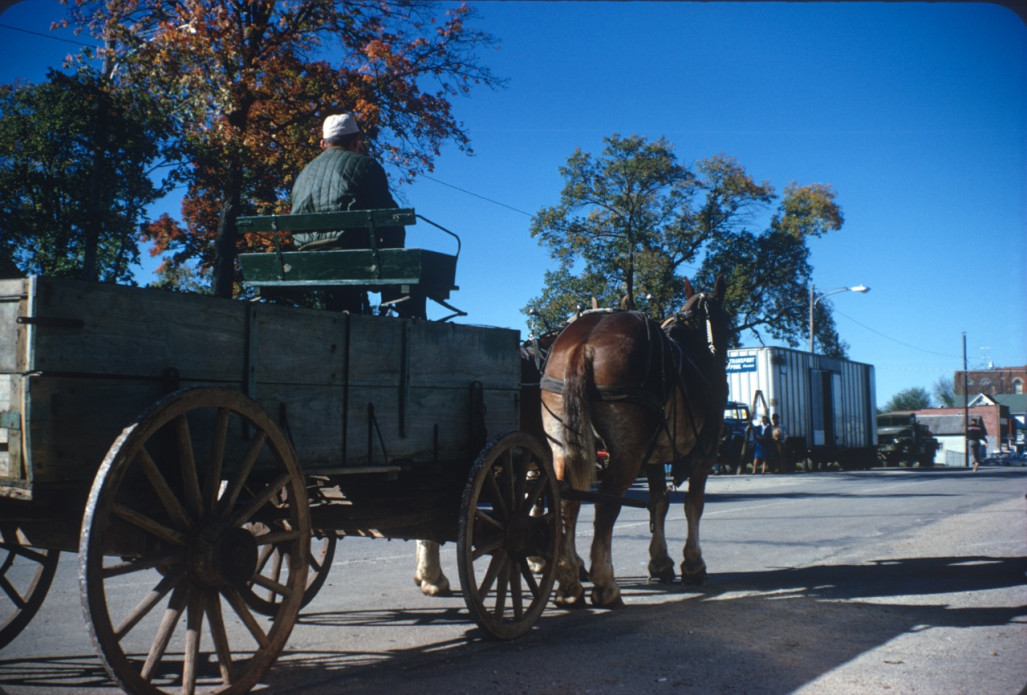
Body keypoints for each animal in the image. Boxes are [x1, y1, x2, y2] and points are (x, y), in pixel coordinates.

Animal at [538, 277, 731, 607]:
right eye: (728, 322)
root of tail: (582, 344)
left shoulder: (654, 456)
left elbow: (659, 504)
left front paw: (661, 562)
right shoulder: (703, 453)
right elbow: (693, 505)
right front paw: (693, 564)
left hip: (563, 445)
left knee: (567, 501)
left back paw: (569, 582)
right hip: (626, 453)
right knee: (606, 505)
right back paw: (604, 583)